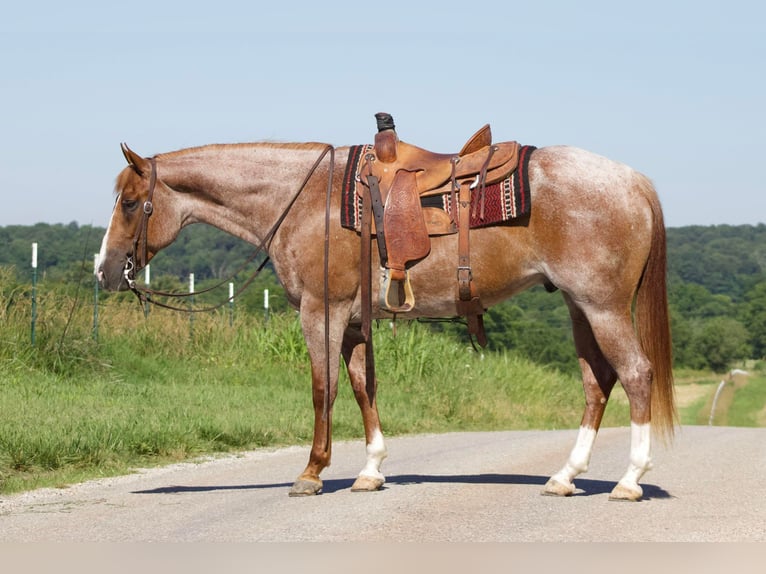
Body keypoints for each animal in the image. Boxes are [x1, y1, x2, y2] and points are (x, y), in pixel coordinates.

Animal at [95, 128, 676, 502]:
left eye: (130, 202)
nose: (104, 270)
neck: (305, 200)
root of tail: (633, 181)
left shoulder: (321, 312)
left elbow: (323, 388)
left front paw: (312, 472)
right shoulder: (354, 320)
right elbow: (361, 387)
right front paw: (371, 470)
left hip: (602, 307)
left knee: (636, 375)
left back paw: (628, 481)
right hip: (580, 308)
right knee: (598, 383)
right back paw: (565, 476)